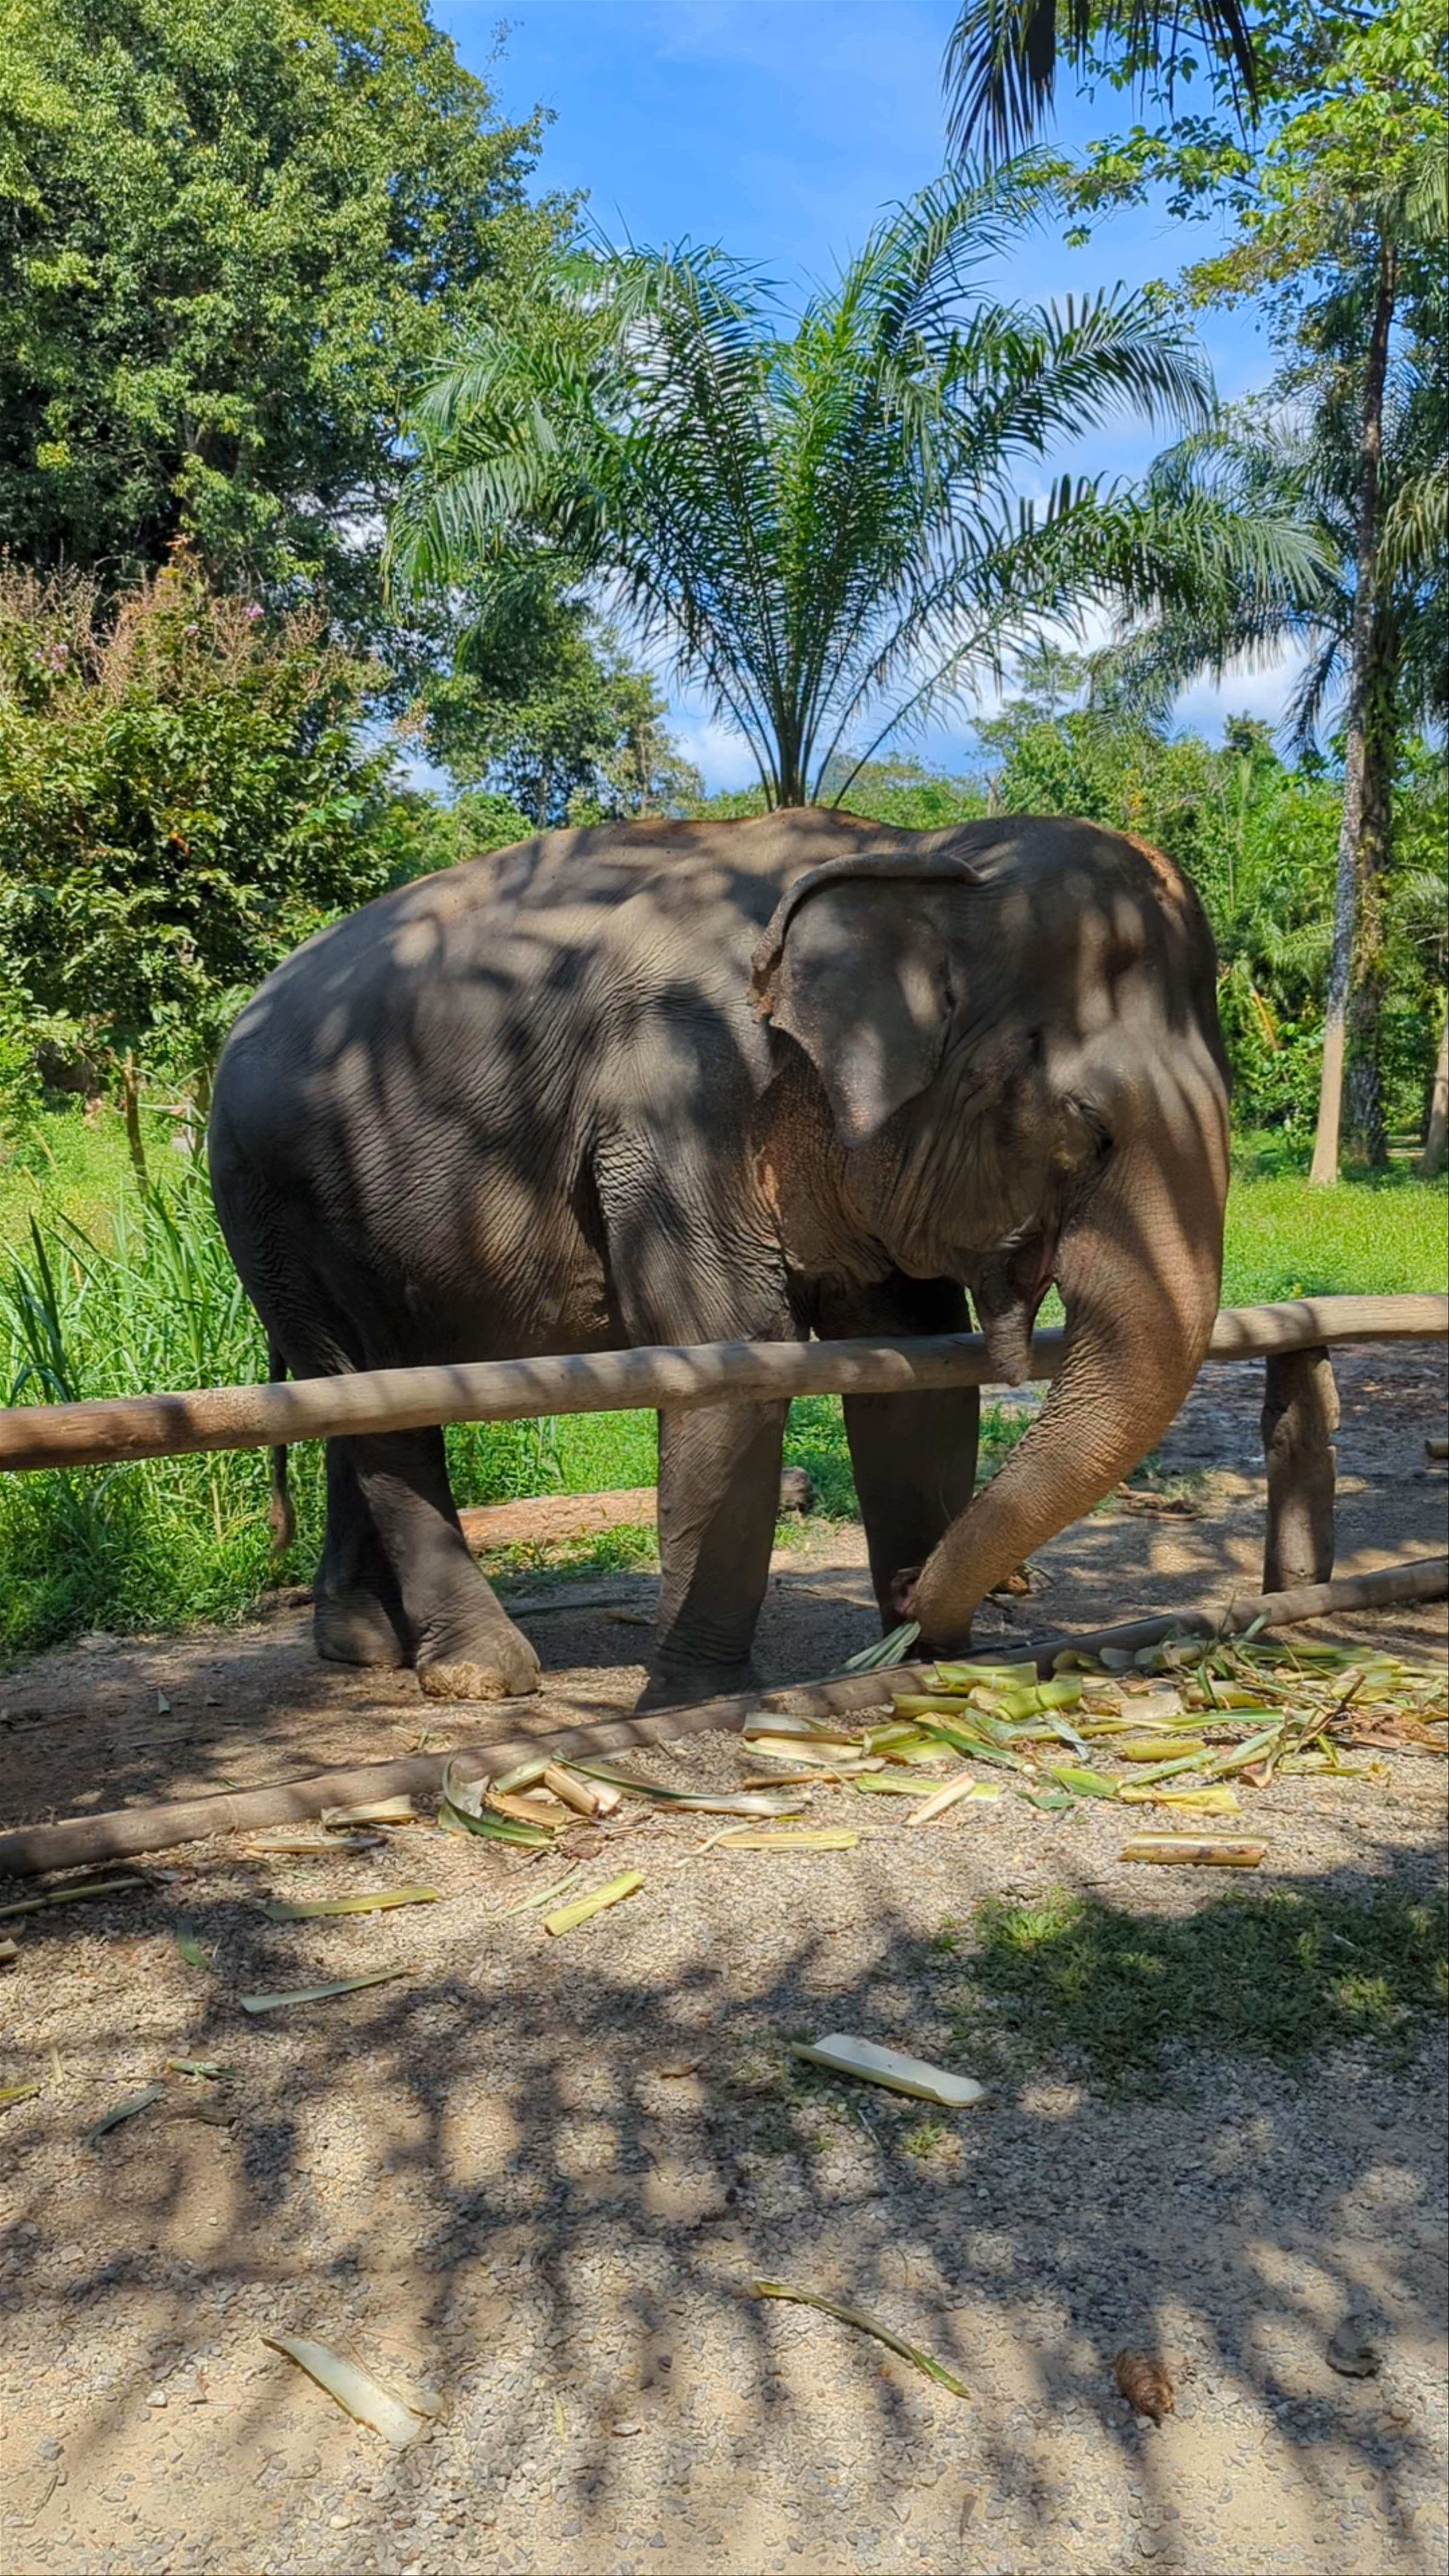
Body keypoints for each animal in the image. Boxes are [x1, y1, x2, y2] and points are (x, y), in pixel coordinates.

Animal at [208, 807, 1230, 1708]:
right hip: (273, 1202)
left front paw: (929, 1662)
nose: (916, 1590)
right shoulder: (674, 1098)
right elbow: (734, 1350)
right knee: (376, 1400)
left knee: (362, 1395)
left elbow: (912, 1365)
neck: (914, 849)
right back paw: (478, 1672)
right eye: (1087, 1127)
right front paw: (691, 1697)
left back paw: (365, 1645)